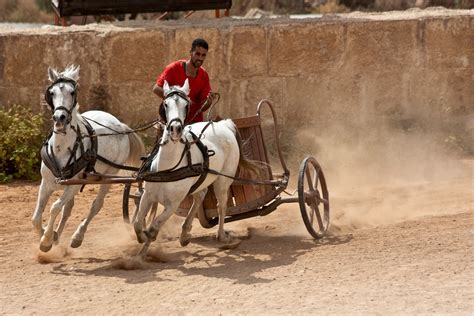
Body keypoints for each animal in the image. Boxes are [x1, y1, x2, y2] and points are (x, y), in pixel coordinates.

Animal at [31, 65, 144, 253]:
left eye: (72, 92)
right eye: (52, 92)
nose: (60, 118)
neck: (62, 147)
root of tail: (120, 125)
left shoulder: (74, 185)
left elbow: (55, 208)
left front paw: (46, 240)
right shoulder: (46, 183)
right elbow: (36, 218)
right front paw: (49, 236)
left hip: (109, 175)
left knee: (96, 205)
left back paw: (78, 236)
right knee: (68, 208)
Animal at [133, 79, 258, 256]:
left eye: (186, 105)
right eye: (165, 104)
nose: (176, 129)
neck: (167, 168)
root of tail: (224, 124)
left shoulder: (173, 204)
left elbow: (154, 227)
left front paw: (141, 254)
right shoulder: (147, 195)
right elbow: (137, 223)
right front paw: (141, 240)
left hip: (222, 180)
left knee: (221, 205)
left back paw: (221, 236)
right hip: (203, 178)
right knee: (200, 196)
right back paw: (185, 233)